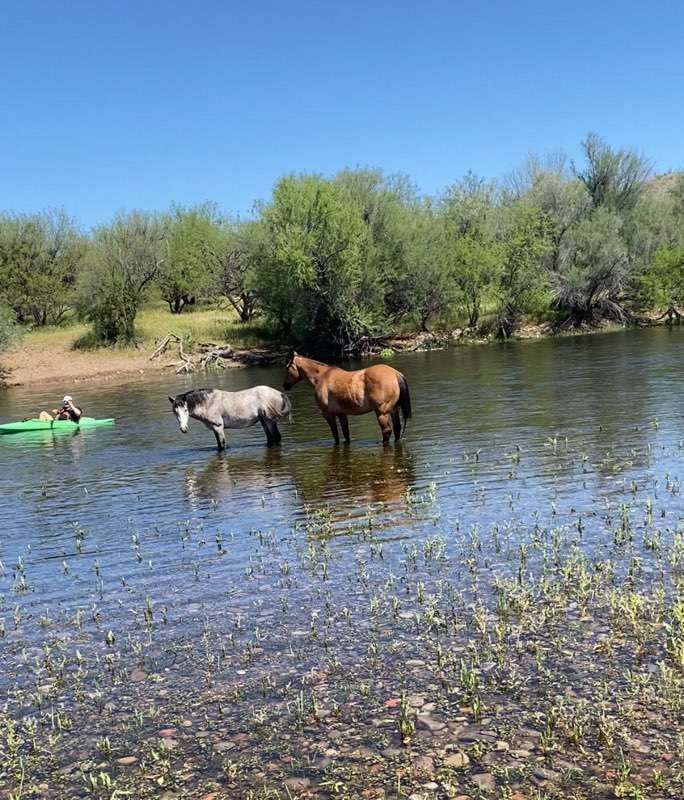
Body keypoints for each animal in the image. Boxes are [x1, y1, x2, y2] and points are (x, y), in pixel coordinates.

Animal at [283, 352, 411, 445]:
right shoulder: (341, 414)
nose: (285, 385)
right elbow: (346, 434)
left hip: (382, 412)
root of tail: (395, 374)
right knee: (397, 428)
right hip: (394, 409)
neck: (321, 377)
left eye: (287, 368)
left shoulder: (328, 414)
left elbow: (335, 435)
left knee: (387, 431)